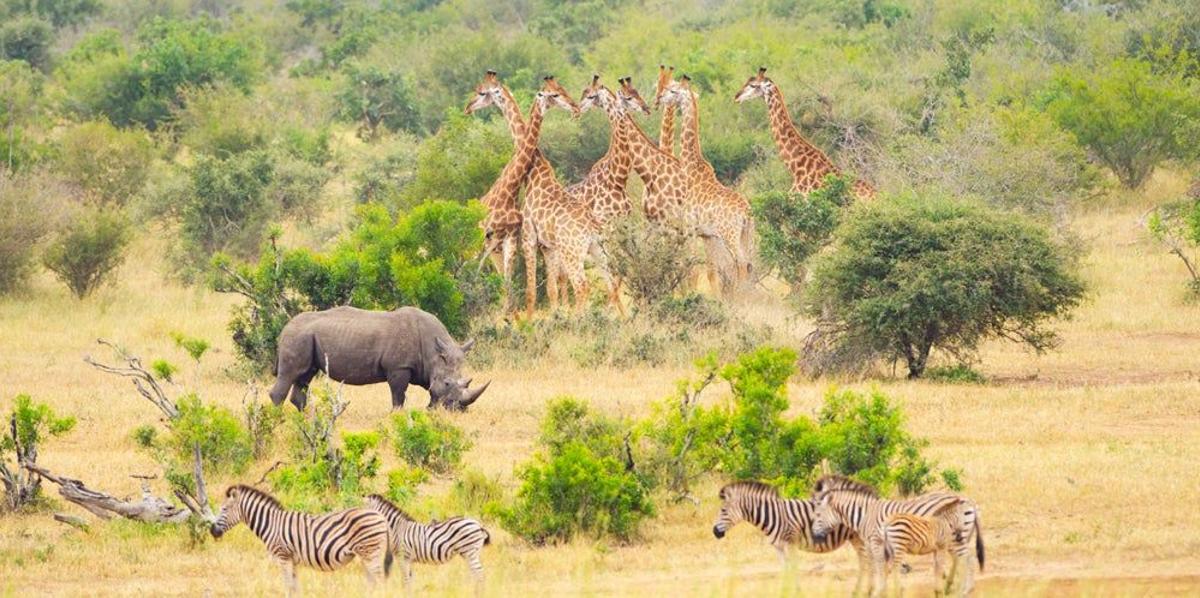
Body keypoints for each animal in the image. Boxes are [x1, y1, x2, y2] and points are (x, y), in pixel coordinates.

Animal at [208, 485, 391, 593]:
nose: (212, 531)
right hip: (367, 554)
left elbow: (288, 586)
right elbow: (295, 587)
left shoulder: (282, 556)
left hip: (370, 552)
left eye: (224, 509)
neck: (271, 524)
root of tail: (381, 517)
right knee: (373, 581)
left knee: (380, 581)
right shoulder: (292, 559)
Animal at [657, 74, 748, 289]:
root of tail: (746, 213)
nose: (659, 98)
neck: (691, 168)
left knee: (740, 263)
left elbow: (692, 269)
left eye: (673, 90)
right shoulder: (707, 234)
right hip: (746, 235)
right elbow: (711, 270)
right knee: (750, 263)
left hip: (730, 234)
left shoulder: (690, 228)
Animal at [710, 477, 864, 566]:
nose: (715, 532)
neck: (772, 515)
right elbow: (785, 571)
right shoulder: (778, 547)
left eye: (723, 510)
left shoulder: (790, 544)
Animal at [806, 475, 984, 598]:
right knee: (962, 559)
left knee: (968, 558)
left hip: (956, 539)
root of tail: (969, 501)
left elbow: (877, 565)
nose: (814, 535)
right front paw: (875, 590)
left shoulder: (875, 541)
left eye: (817, 513)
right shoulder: (874, 543)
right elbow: (877, 566)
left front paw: (877, 591)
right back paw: (953, 588)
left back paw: (965, 590)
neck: (865, 513)